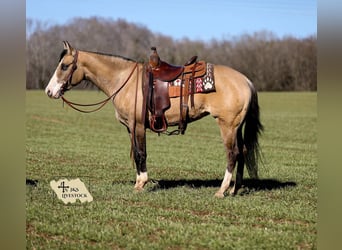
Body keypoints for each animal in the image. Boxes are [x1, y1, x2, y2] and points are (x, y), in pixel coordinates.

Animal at [44, 41, 264, 197]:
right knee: (243, 151)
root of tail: (246, 80)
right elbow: (137, 153)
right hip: (237, 127)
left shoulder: (139, 126)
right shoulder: (130, 128)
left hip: (227, 126)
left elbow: (141, 153)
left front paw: (141, 183)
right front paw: (139, 182)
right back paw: (235, 189)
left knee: (232, 153)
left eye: (65, 66)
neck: (125, 81)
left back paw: (222, 190)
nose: (49, 91)